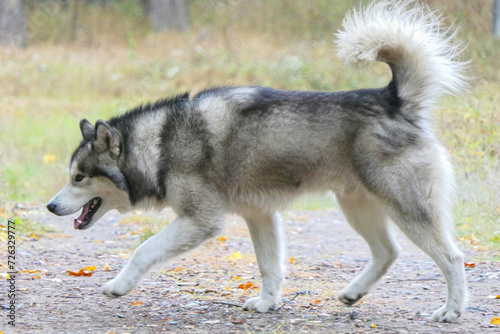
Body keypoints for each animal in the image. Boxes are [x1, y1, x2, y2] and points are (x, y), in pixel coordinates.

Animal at [47, 0, 468, 324]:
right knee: (387, 252)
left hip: (406, 210)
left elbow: (143, 251)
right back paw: (353, 293)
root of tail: (392, 98)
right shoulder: (259, 215)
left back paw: (451, 311)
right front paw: (267, 303)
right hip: (357, 207)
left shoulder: (200, 221)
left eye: (79, 177)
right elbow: (269, 267)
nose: (50, 206)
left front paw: (118, 285)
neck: (161, 144)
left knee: (453, 257)